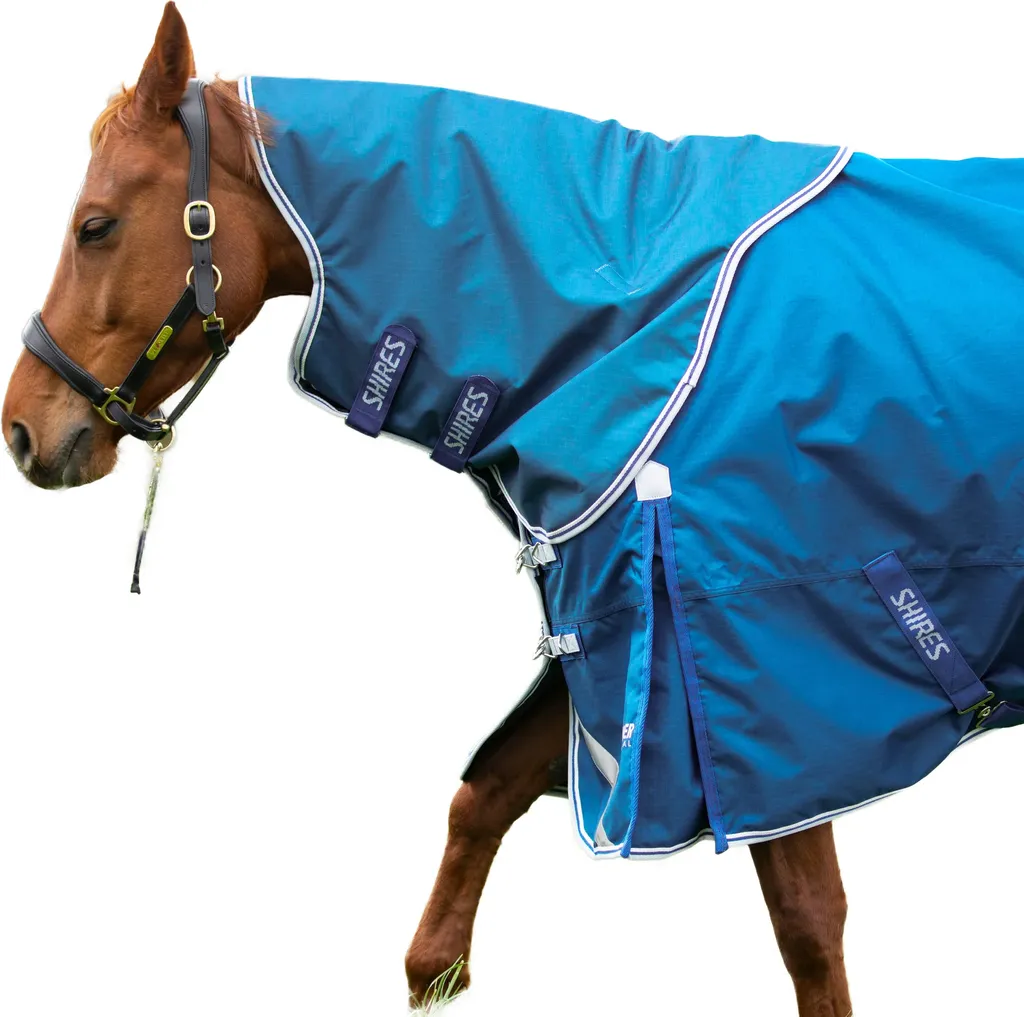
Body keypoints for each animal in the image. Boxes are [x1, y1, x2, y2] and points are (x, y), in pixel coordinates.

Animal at [7, 5, 1024, 1015]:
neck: (636, 312)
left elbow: (810, 928)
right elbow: (483, 793)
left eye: (95, 226)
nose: (22, 428)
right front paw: (437, 967)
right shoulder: (606, 644)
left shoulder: (766, 694)